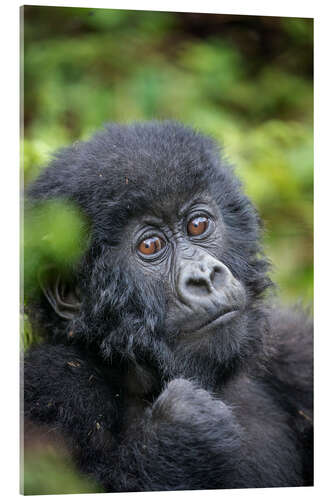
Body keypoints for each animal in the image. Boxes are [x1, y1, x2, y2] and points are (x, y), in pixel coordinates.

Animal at [24, 122, 312, 492]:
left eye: (198, 225)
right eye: (150, 245)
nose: (204, 277)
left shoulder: (297, 344)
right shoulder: (49, 381)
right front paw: (185, 434)